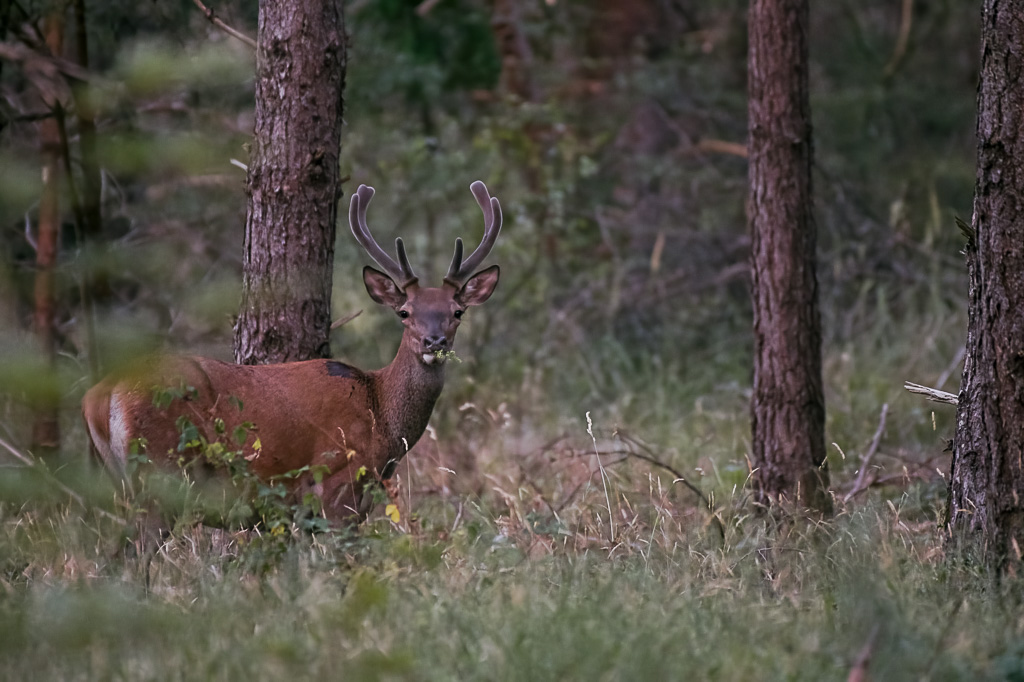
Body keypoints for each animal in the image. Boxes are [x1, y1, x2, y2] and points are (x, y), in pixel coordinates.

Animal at [82, 181, 502, 526]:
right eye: (405, 312)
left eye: (457, 311)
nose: (435, 342)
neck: (380, 415)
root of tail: (99, 396)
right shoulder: (337, 486)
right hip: (160, 469)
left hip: (117, 476)